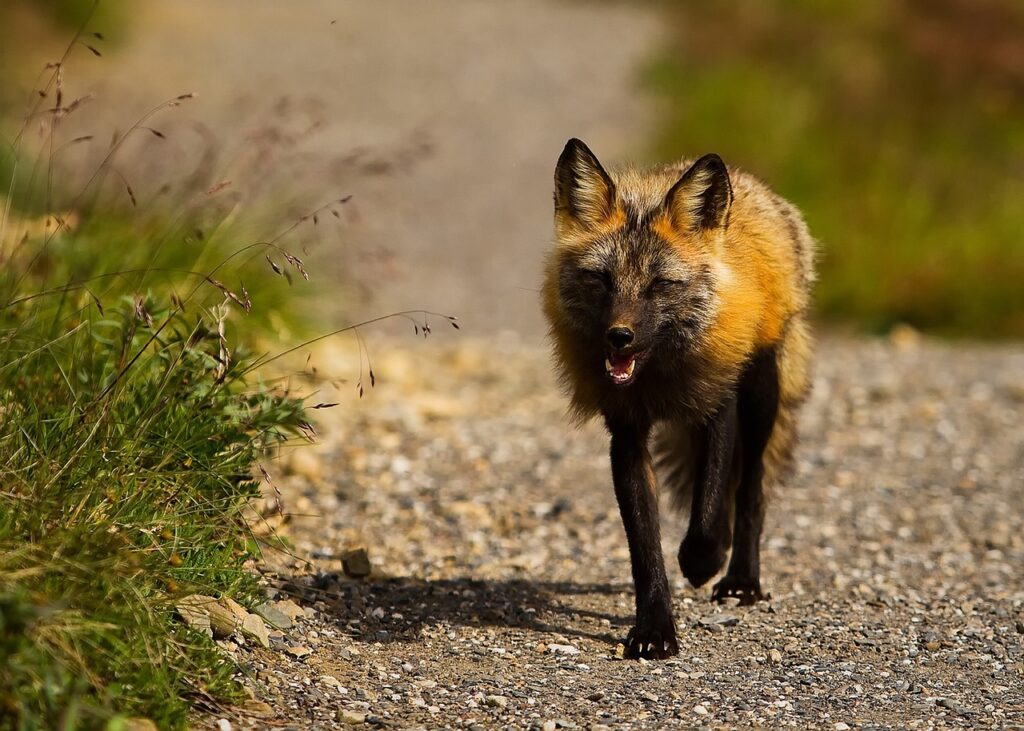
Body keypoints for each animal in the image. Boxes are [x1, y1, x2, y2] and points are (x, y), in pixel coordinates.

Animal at [542, 138, 815, 660]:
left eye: (660, 285)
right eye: (602, 280)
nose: (619, 337)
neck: (659, 377)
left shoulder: (717, 405)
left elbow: (706, 516)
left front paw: (702, 562)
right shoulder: (626, 433)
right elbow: (645, 547)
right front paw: (653, 628)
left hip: (760, 393)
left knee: (750, 486)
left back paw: (741, 577)